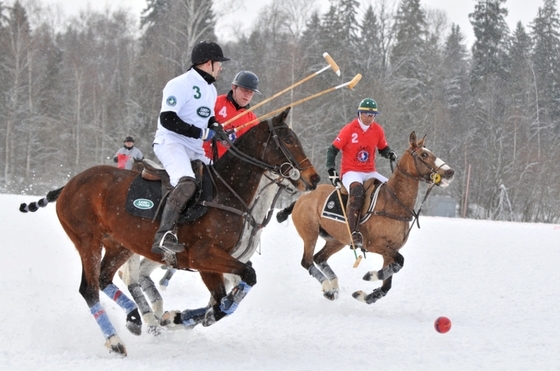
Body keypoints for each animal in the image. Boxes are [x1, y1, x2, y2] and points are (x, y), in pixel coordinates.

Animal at [19, 109, 320, 356]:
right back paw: (116, 341)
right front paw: (174, 318)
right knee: (90, 288)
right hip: (87, 240)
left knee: (106, 279)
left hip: (119, 244)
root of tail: (69, 184)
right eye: (288, 140)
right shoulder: (203, 256)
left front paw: (174, 317)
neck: (227, 193)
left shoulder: (213, 263)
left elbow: (223, 299)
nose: (314, 178)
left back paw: (135, 317)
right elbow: (235, 289)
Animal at [276, 132, 456, 306]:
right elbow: (400, 261)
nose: (450, 172)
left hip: (337, 239)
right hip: (310, 233)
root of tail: (302, 198)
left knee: (319, 258)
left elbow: (388, 282)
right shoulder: (375, 244)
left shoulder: (390, 250)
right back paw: (327, 288)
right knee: (306, 261)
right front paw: (371, 276)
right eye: (424, 154)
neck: (394, 202)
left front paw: (366, 295)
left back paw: (333, 288)